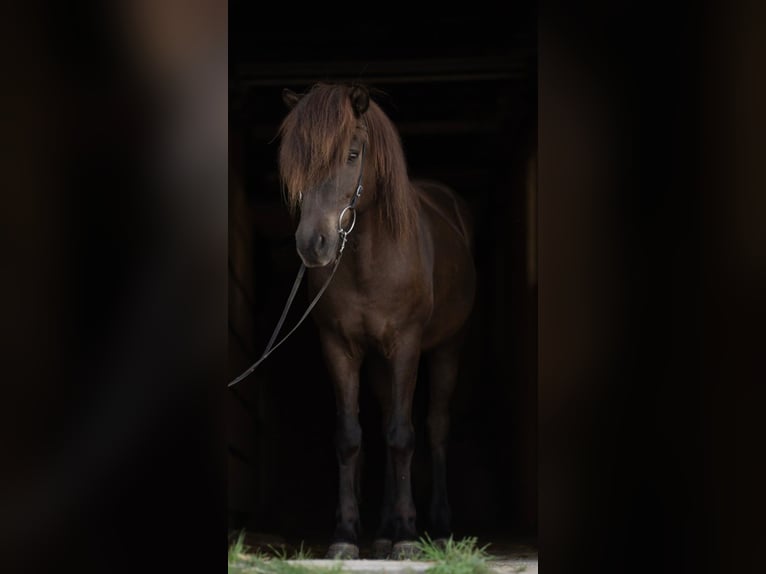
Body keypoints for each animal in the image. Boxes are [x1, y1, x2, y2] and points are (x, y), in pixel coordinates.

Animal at [280, 83, 476, 560]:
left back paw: (437, 527)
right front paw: (346, 535)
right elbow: (351, 437)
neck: (370, 260)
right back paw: (384, 529)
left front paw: (407, 535)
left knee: (434, 427)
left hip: (447, 348)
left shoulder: (406, 345)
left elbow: (403, 436)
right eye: (296, 159)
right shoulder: (339, 347)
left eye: (352, 154)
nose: (313, 244)